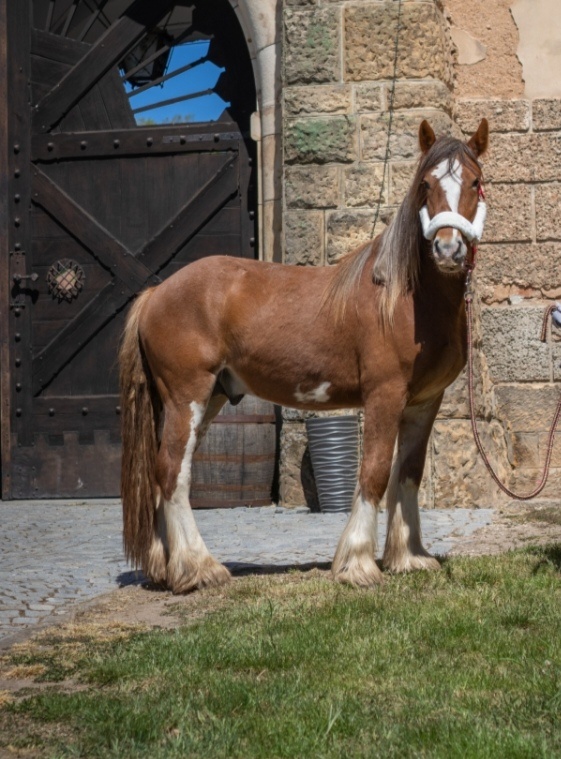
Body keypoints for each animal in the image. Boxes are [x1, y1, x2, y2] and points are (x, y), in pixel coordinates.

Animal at [119, 117, 489, 593]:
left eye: (475, 182)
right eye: (426, 184)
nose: (447, 249)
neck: (406, 297)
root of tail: (156, 293)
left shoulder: (424, 403)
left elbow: (408, 473)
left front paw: (409, 557)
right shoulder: (384, 396)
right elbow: (373, 472)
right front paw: (358, 565)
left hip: (207, 399)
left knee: (166, 472)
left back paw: (168, 568)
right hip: (188, 395)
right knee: (172, 473)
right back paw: (198, 568)